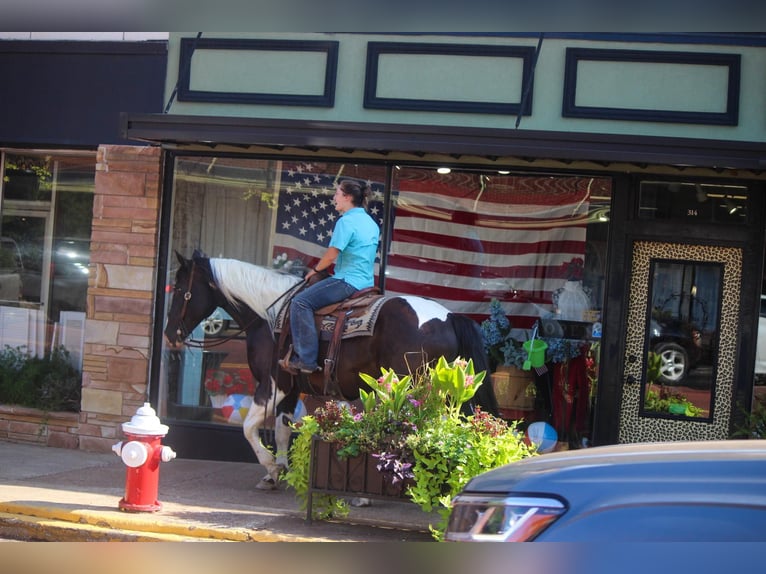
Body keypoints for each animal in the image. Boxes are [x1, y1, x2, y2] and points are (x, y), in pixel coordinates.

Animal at [165, 251, 500, 490]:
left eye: (181, 289)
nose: (170, 334)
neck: (269, 316)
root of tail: (449, 317)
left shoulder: (273, 384)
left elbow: (248, 428)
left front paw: (271, 465)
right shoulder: (291, 389)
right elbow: (283, 431)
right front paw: (278, 473)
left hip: (416, 392)